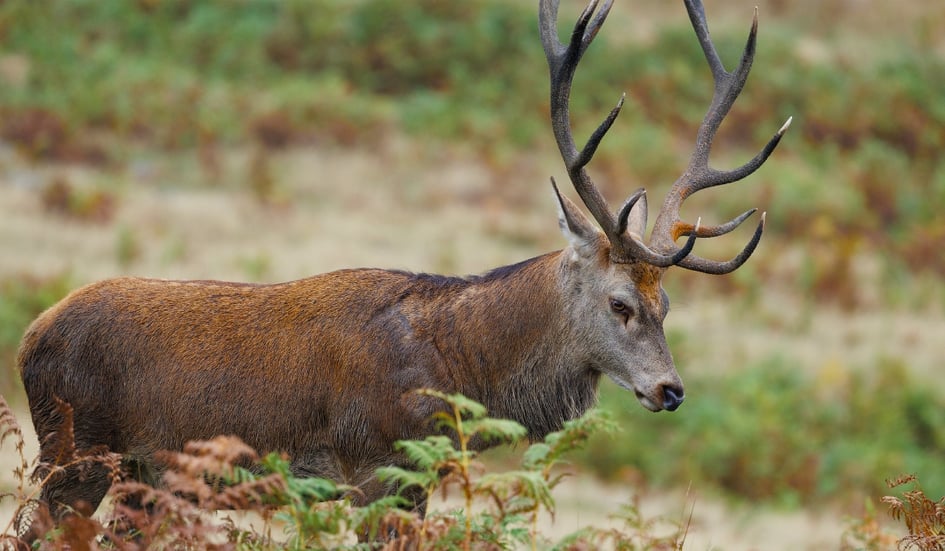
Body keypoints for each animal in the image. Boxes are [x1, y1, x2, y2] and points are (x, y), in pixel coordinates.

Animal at [16, 0, 789, 542]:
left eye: (668, 307)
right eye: (620, 303)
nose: (670, 389)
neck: (453, 370)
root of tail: (28, 337)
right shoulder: (373, 470)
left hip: (140, 477)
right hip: (74, 452)